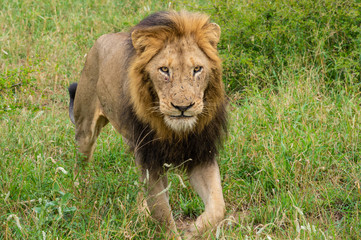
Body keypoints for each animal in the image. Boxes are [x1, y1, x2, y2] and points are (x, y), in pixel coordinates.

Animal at [68, 10, 228, 238]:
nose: (183, 107)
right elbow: (161, 210)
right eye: (164, 70)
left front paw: (194, 231)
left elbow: (218, 207)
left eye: (197, 69)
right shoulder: (149, 158)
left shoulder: (200, 154)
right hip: (85, 126)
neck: (175, 132)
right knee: (80, 163)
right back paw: (78, 196)